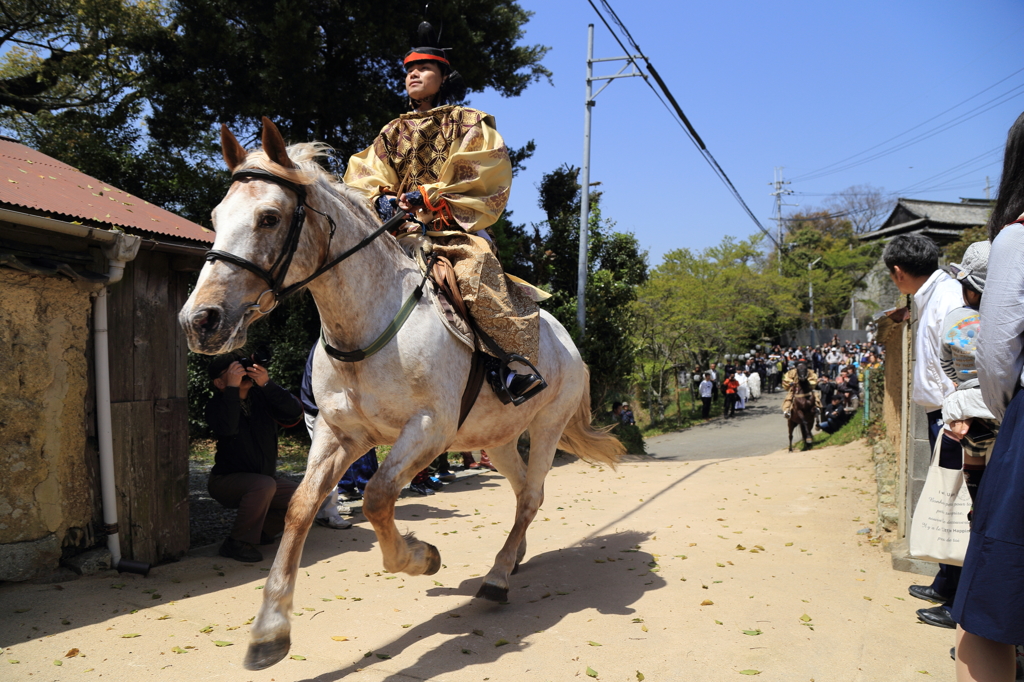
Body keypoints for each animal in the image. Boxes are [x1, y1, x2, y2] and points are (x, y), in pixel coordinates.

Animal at [178, 119, 622, 667]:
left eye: (268, 217)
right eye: (216, 217)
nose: (201, 320)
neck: (367, 328)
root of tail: (568, 342)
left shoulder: (428, 430)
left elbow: (376, 496)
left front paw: (421, 557)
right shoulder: (339, 433)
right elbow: (302, 507)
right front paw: (270, 630)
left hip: (546, 425)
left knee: (533, 494)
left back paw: (496, 578)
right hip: (496, 437)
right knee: (521, 493)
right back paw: (510, 558)